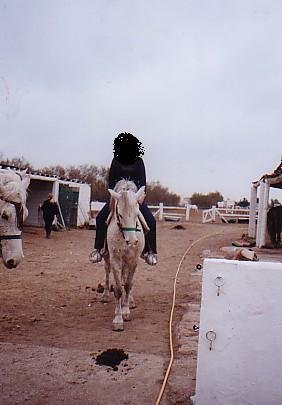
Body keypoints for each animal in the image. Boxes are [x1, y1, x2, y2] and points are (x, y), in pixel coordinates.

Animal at [102, 178, 149, 330]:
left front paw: (126, 311)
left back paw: (129, 301)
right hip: (109, 258)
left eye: (137, 214)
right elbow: (118, 289)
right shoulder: (116, 259)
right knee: (107, 271)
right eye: (120, 215)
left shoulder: (133, 260)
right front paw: (118, 319)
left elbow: (128, 285)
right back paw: (105, 295)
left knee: (126, 279)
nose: (132, 241)